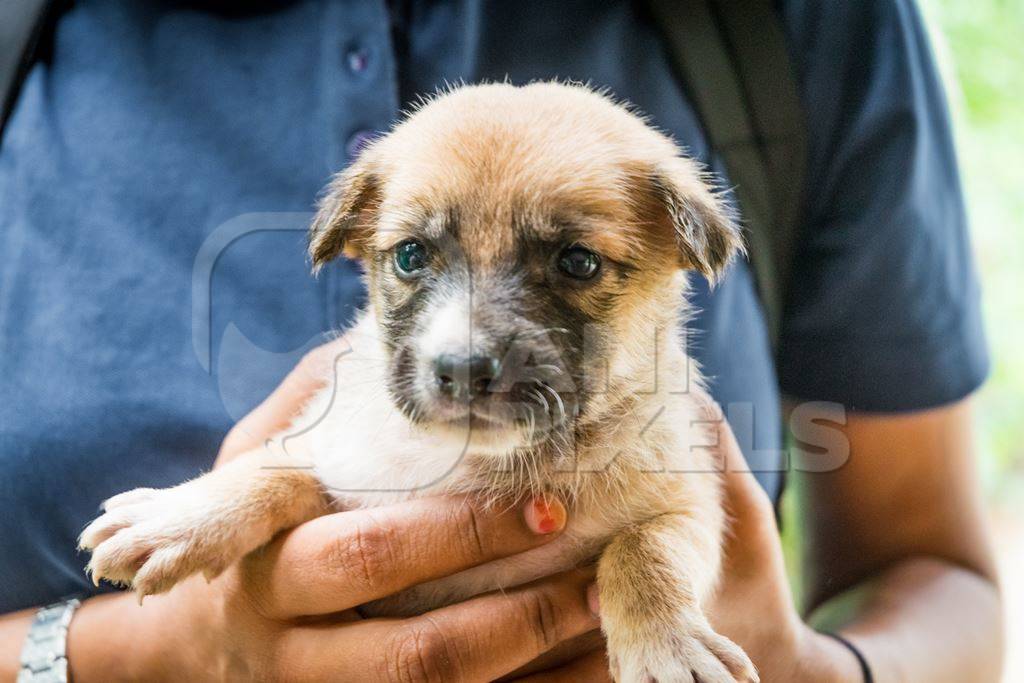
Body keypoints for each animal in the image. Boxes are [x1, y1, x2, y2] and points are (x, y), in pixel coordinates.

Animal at [81, 83, 753, 683]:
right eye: (410, 256)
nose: (463, 369)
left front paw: (669, 648)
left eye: (578, 262)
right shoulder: (339, 458)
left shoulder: (692, 504)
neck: (483, 463)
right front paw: (177, 517)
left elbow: (644, 551)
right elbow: (270, 469)